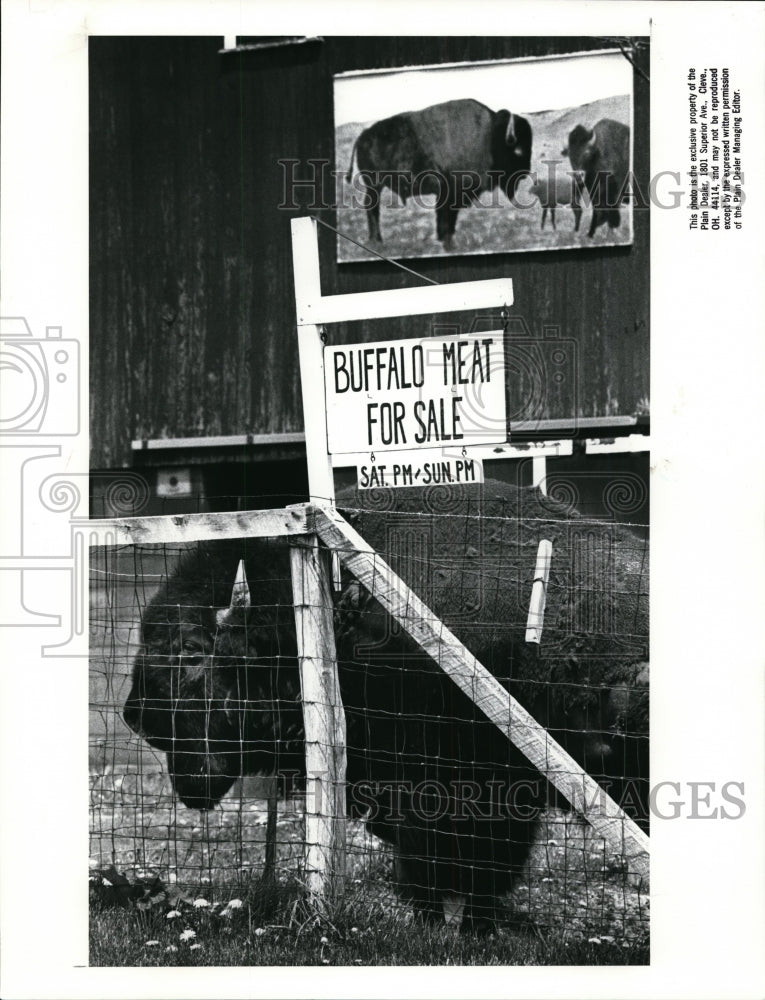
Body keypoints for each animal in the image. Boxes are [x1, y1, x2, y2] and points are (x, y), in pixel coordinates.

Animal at [344, 98, 532, 250]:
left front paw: (444, 240)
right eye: (519, 151)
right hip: (374, 185)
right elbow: (446, 219)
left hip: (374, 186)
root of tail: (363, 136)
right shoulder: (452, 193)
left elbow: (446, 218)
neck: (491, 137)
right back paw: (377, 240)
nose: (526, 173)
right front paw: (449, 244)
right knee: (372, 208)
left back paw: (376, 240)